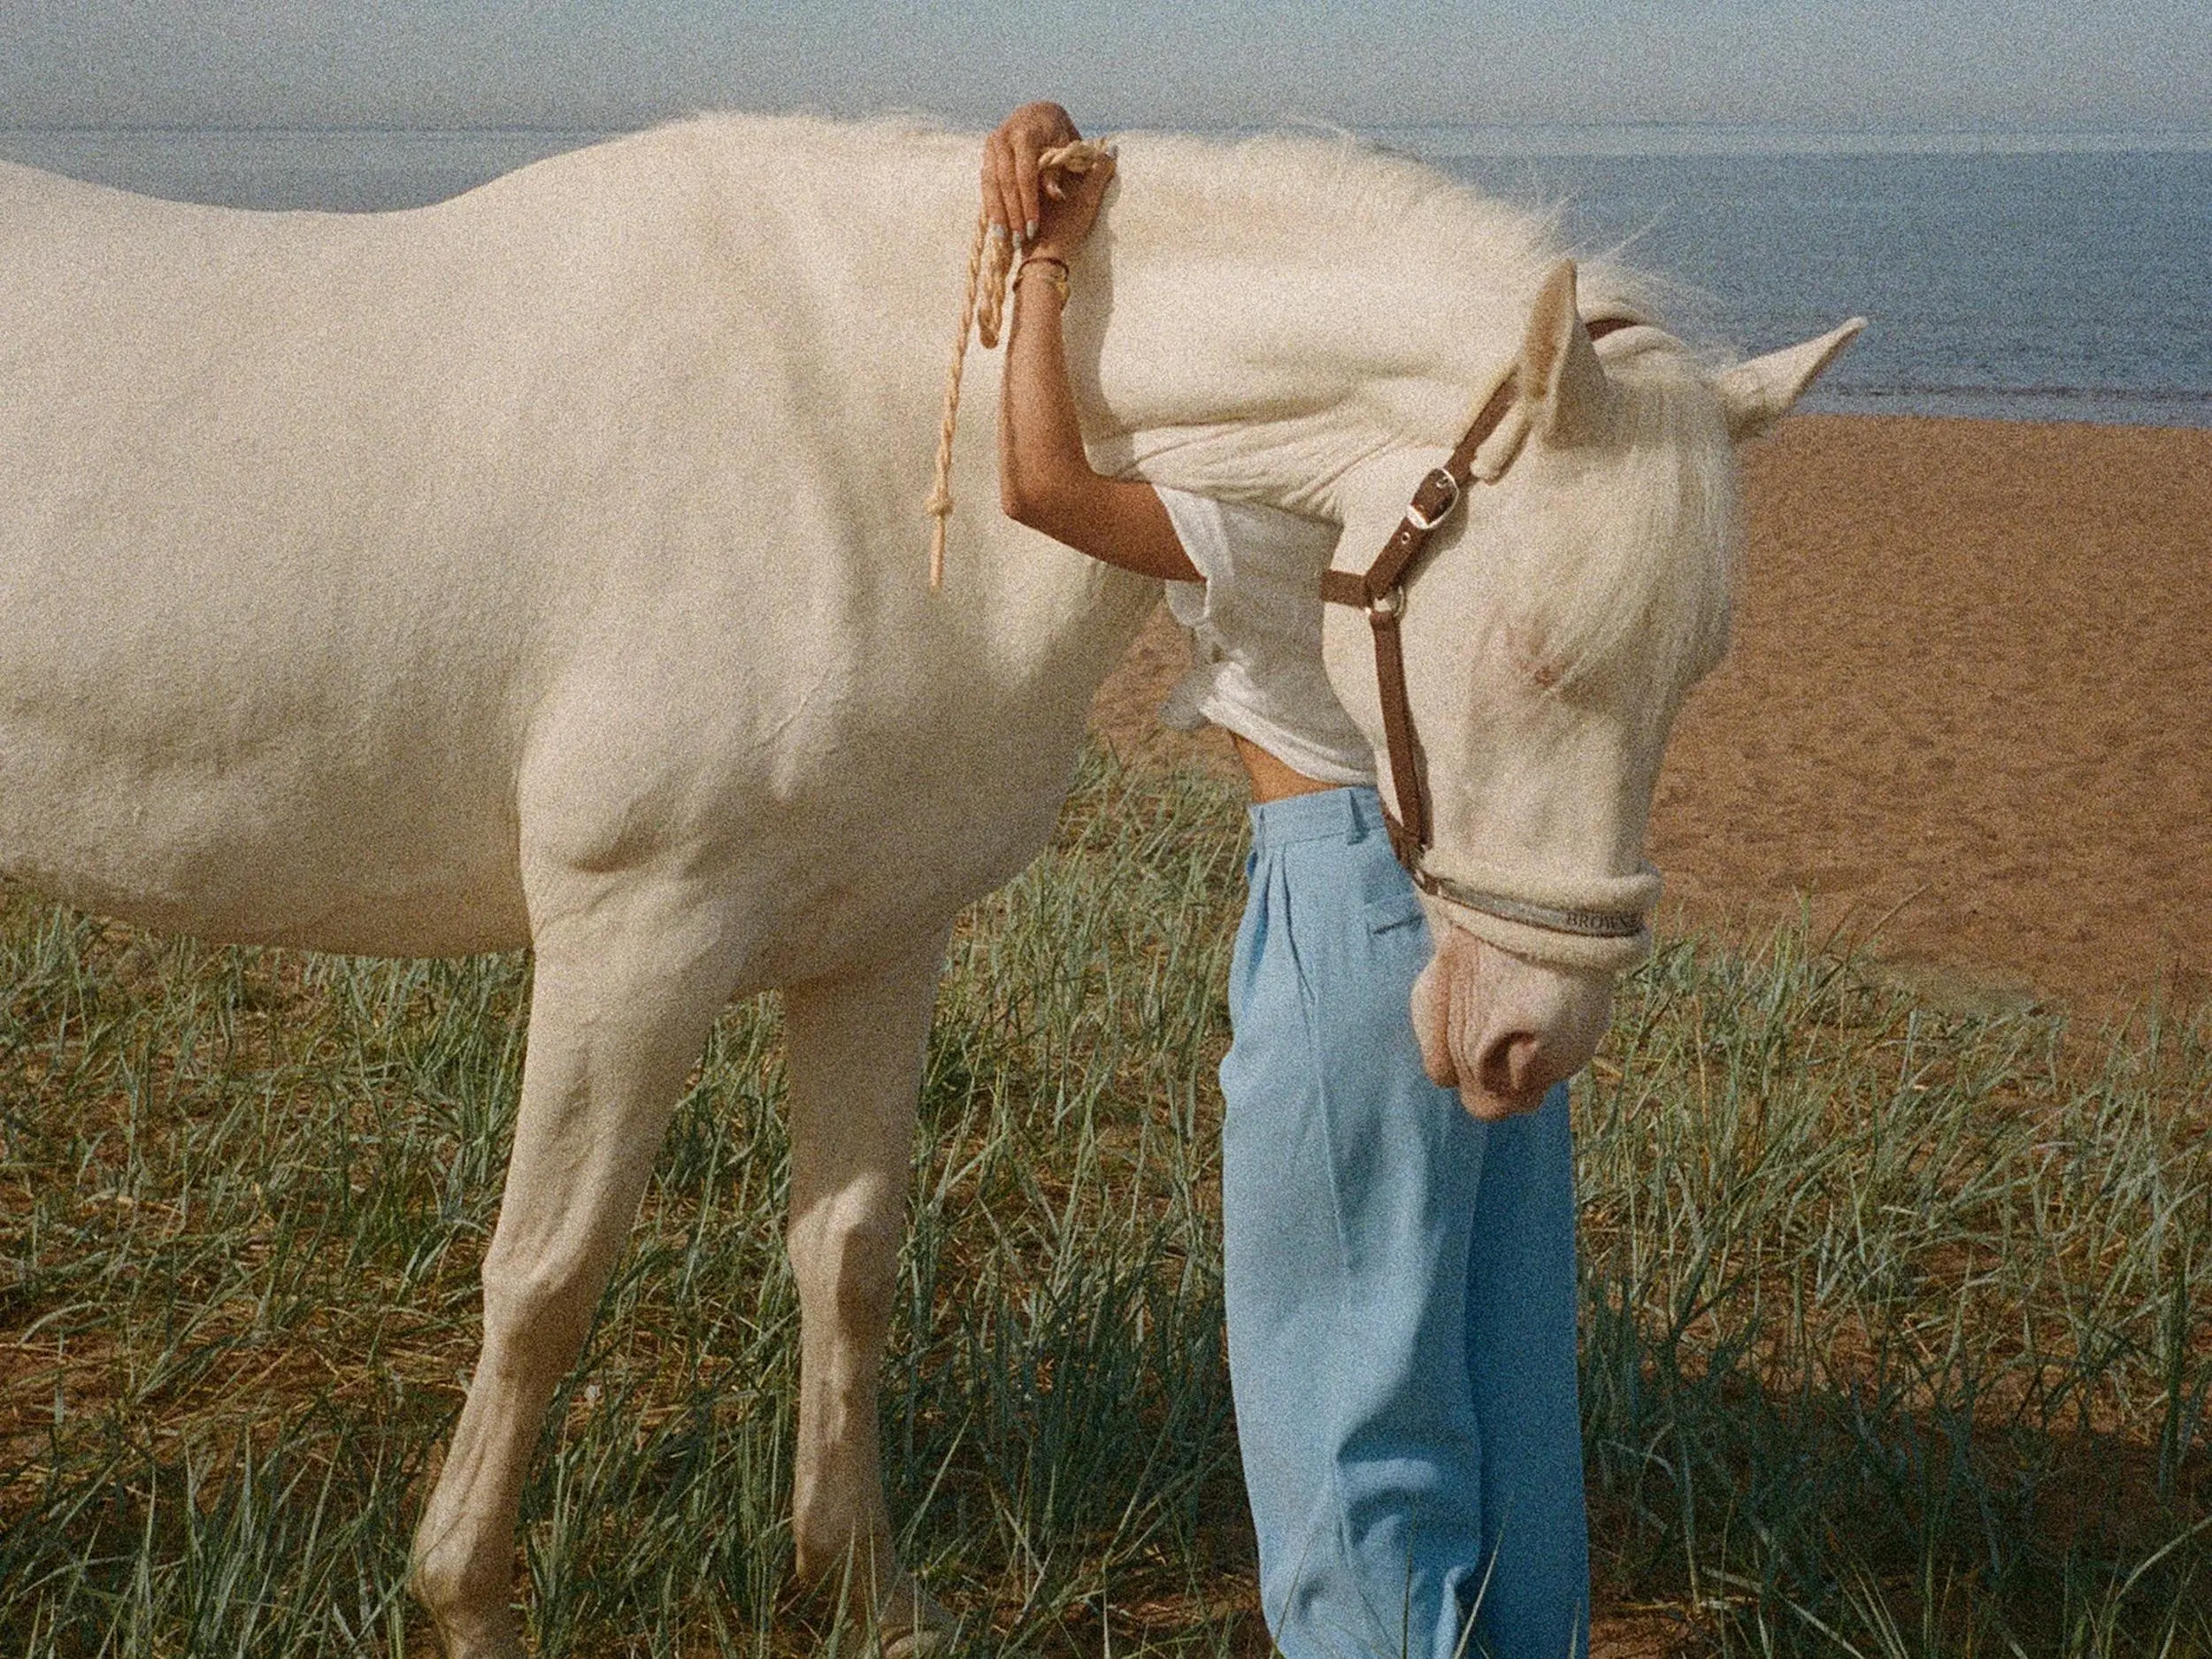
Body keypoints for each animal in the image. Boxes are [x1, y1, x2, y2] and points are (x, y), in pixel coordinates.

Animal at [0, 111, 1858, 1655]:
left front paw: (859, 1588)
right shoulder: (631, 940)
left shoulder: (883, 942)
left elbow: (851, 1257)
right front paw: (467, 1599)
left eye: (1695, 670)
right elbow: (544, 1277)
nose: (1530, 1037)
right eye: (1538, 652)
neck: (859, 432)